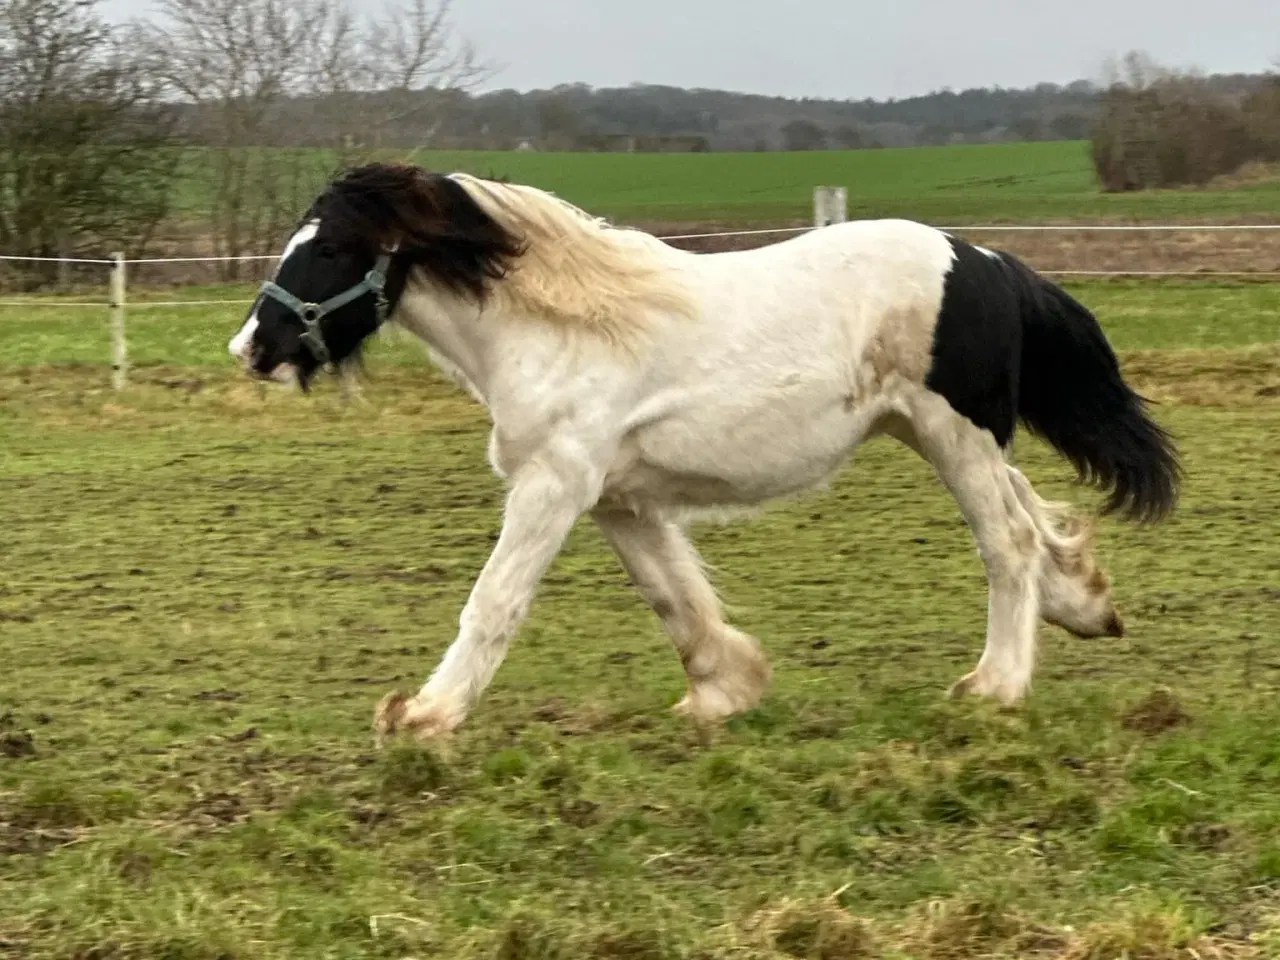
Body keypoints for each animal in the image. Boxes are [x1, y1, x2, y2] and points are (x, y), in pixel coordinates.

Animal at [225, 163, 1172, 742]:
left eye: (331, 249)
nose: (252, 347)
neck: (557, 330)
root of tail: (985, 258)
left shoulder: (554, 486)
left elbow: (494, 602)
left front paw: (423, 715)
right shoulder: (618, 497)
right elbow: (674, 598)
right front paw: (724, 690)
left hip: (954, 432)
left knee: (1006, 540)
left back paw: (994, 687)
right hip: (936, 430)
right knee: (1034, 519)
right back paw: (1086, 604)